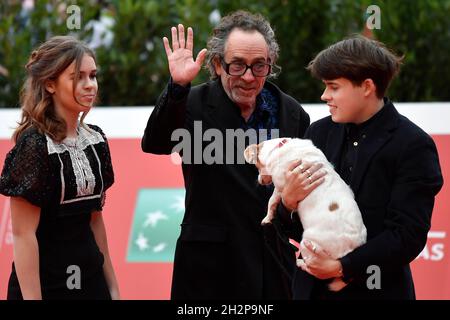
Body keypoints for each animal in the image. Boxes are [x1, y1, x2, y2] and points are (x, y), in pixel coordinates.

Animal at [244, 138, 368, 292]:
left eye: (257, 166)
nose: (260, 181)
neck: (280, 147)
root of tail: (351, 249)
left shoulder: (280, 187)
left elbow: (271, 201)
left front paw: (267, 218)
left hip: (308, 245)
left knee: (312, 267)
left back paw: (301, 263)